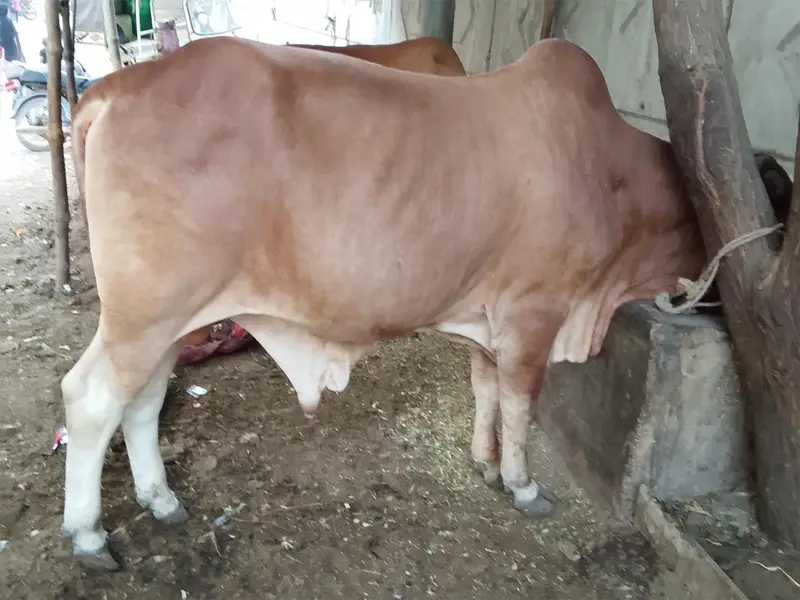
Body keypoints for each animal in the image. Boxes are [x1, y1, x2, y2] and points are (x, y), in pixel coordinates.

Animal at [63, 35, 712, 570]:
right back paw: (89, 536)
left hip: (167, 323)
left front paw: (485, 463)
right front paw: (524, 485)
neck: (608, 171)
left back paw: (161, 499)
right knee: (91, 399)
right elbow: (520, 403)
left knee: (143, 401)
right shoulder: (535, 312)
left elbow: (485, 389)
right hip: (143, 316)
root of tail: (113, 88)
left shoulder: (489, 317)